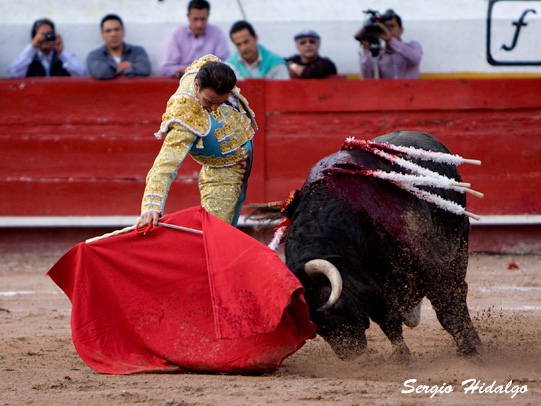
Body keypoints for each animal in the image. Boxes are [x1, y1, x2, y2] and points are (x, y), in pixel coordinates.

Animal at [279, 131, 482, 361]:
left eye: (329, 307)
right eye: (312, 323)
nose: (349, 353)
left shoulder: (427, 262)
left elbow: (447, 306)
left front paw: (469, 351)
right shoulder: (376, 287)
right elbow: (389, 322)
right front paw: (402, 358)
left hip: (460, 244)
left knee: (460, 291)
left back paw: (476, 342)